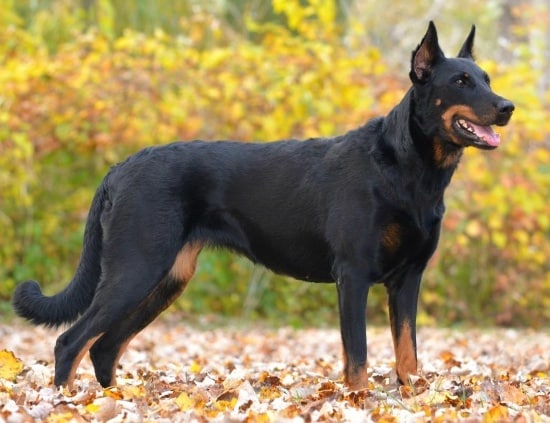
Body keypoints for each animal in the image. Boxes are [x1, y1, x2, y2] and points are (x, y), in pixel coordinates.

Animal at [11, 23, 512, 392]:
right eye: (461, 81)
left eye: (486, 78)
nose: (508, 107)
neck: (409, 170)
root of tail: (119, 168)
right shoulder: (352, 275)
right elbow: (358, 358)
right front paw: (360, 401)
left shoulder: (406, 280)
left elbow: (408, 357)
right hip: (135, 270)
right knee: (70, 342)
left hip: (165, 279)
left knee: (103, 347)